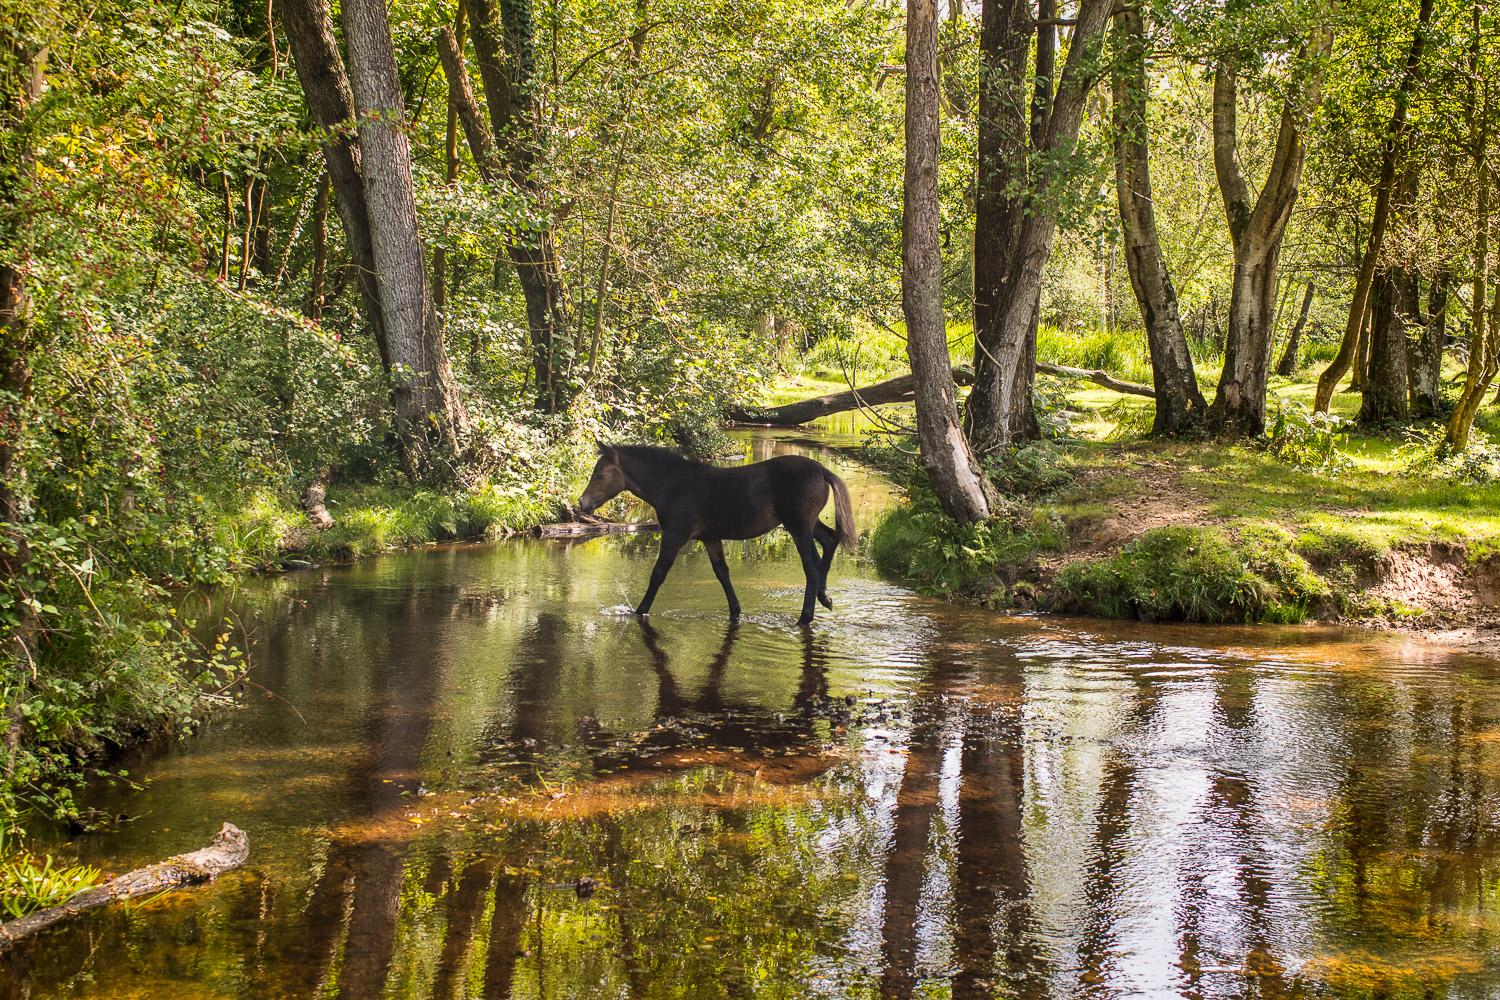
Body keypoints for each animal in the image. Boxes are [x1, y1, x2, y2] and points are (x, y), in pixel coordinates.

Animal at [573, 446, 858, 626]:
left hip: (798, 526)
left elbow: (658, 574)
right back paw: (825, 597)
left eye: (600, 474)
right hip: (806, 524)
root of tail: (822, 470)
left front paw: (639, 611)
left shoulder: (675, 535)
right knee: (830, 540)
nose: (582, 503)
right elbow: (722, 573)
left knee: (811, 566)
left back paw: (805, 617)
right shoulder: (710, 538)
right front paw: (735, 612)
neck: (673, 485)